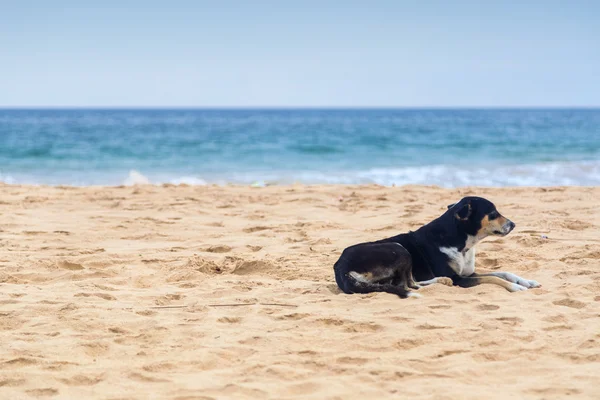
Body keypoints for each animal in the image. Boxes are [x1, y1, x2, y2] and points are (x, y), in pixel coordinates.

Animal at [336, 196, 540, 296]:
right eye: (493, 213)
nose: (513, 224)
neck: (462, 244)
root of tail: (340, 268)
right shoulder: (459, 279)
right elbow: (494, 278)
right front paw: (515, 288)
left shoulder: (467, 273)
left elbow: (502, 273)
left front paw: (526, 282)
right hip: (399, 248)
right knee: (408, 284)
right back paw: (442, 281)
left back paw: (442, 281)